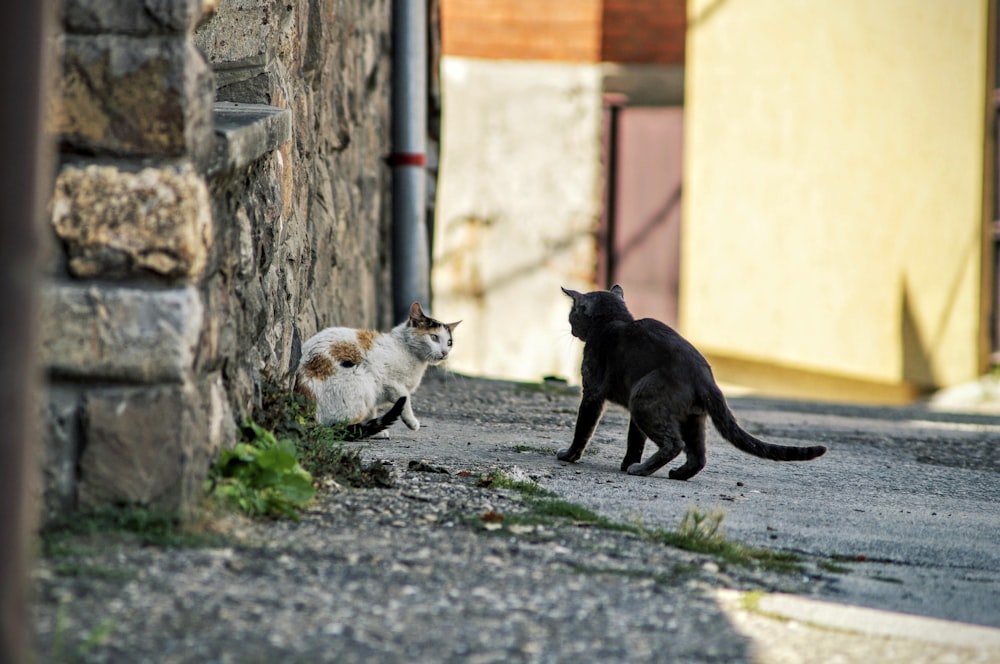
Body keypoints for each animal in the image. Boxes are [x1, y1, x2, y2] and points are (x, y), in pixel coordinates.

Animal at [292, 302, 458, 438]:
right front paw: (411, 422)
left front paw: (378, 430)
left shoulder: (376, 398)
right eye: (434, 337)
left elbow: (372, 411)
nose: (445, 353)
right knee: (337, 426)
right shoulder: (392, 383)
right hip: (362, 380)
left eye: (449, 342)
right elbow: (405, 399)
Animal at [556, 284, 828, 478]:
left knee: (674, 444)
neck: (613, 321)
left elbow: (583, 428)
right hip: (691, 417)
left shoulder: (592, 392)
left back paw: (642, 470)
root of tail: (705, 377)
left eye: (571, 315)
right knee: (698, 456)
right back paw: (677, 474)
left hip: (643, 398)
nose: (570, 329)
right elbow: (635, 440)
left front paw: (569, 456)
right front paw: (627, 462)